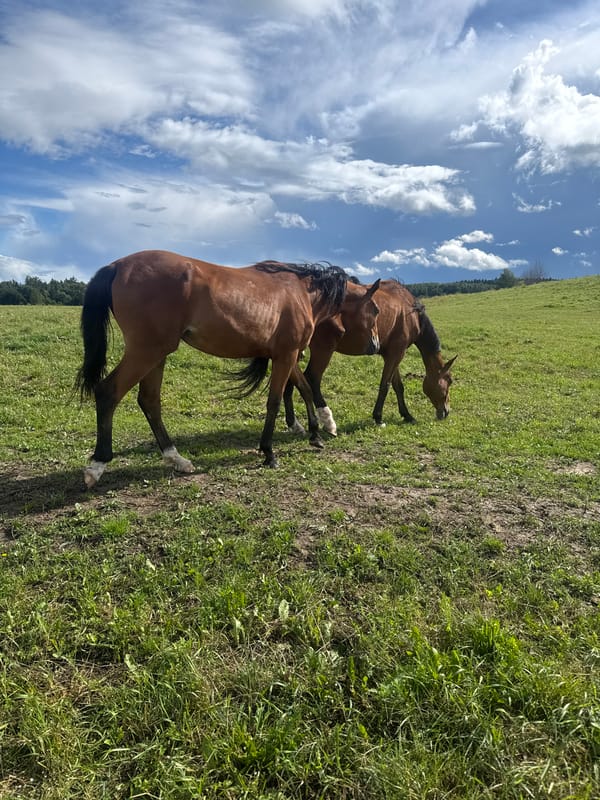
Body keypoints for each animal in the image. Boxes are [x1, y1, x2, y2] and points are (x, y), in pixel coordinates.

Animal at [75, 250, 381, 487]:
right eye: (376, 310)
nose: (375, 345)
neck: (301, 293)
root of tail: (117, 265)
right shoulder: (286, 355)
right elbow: (274, 401)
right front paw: (269, 452)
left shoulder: (287, 355)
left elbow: (304, 388)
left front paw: (316, 435)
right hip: (146, 352)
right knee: (108, 393)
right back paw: (97, 465)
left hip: (156, 355)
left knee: (149, 401)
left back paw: (176, 458)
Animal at [283, 278, 456, 435]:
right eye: (449, 381)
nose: (446, 411)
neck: (410, 312)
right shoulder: (397, 354)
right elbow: (385, 385)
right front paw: (378, 418)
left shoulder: (392, 355)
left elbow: (398, 387)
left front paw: (407, 415)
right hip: (323, 350)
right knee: (311, 378)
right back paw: (328, 423)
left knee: (291, 380)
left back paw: (294, 424)